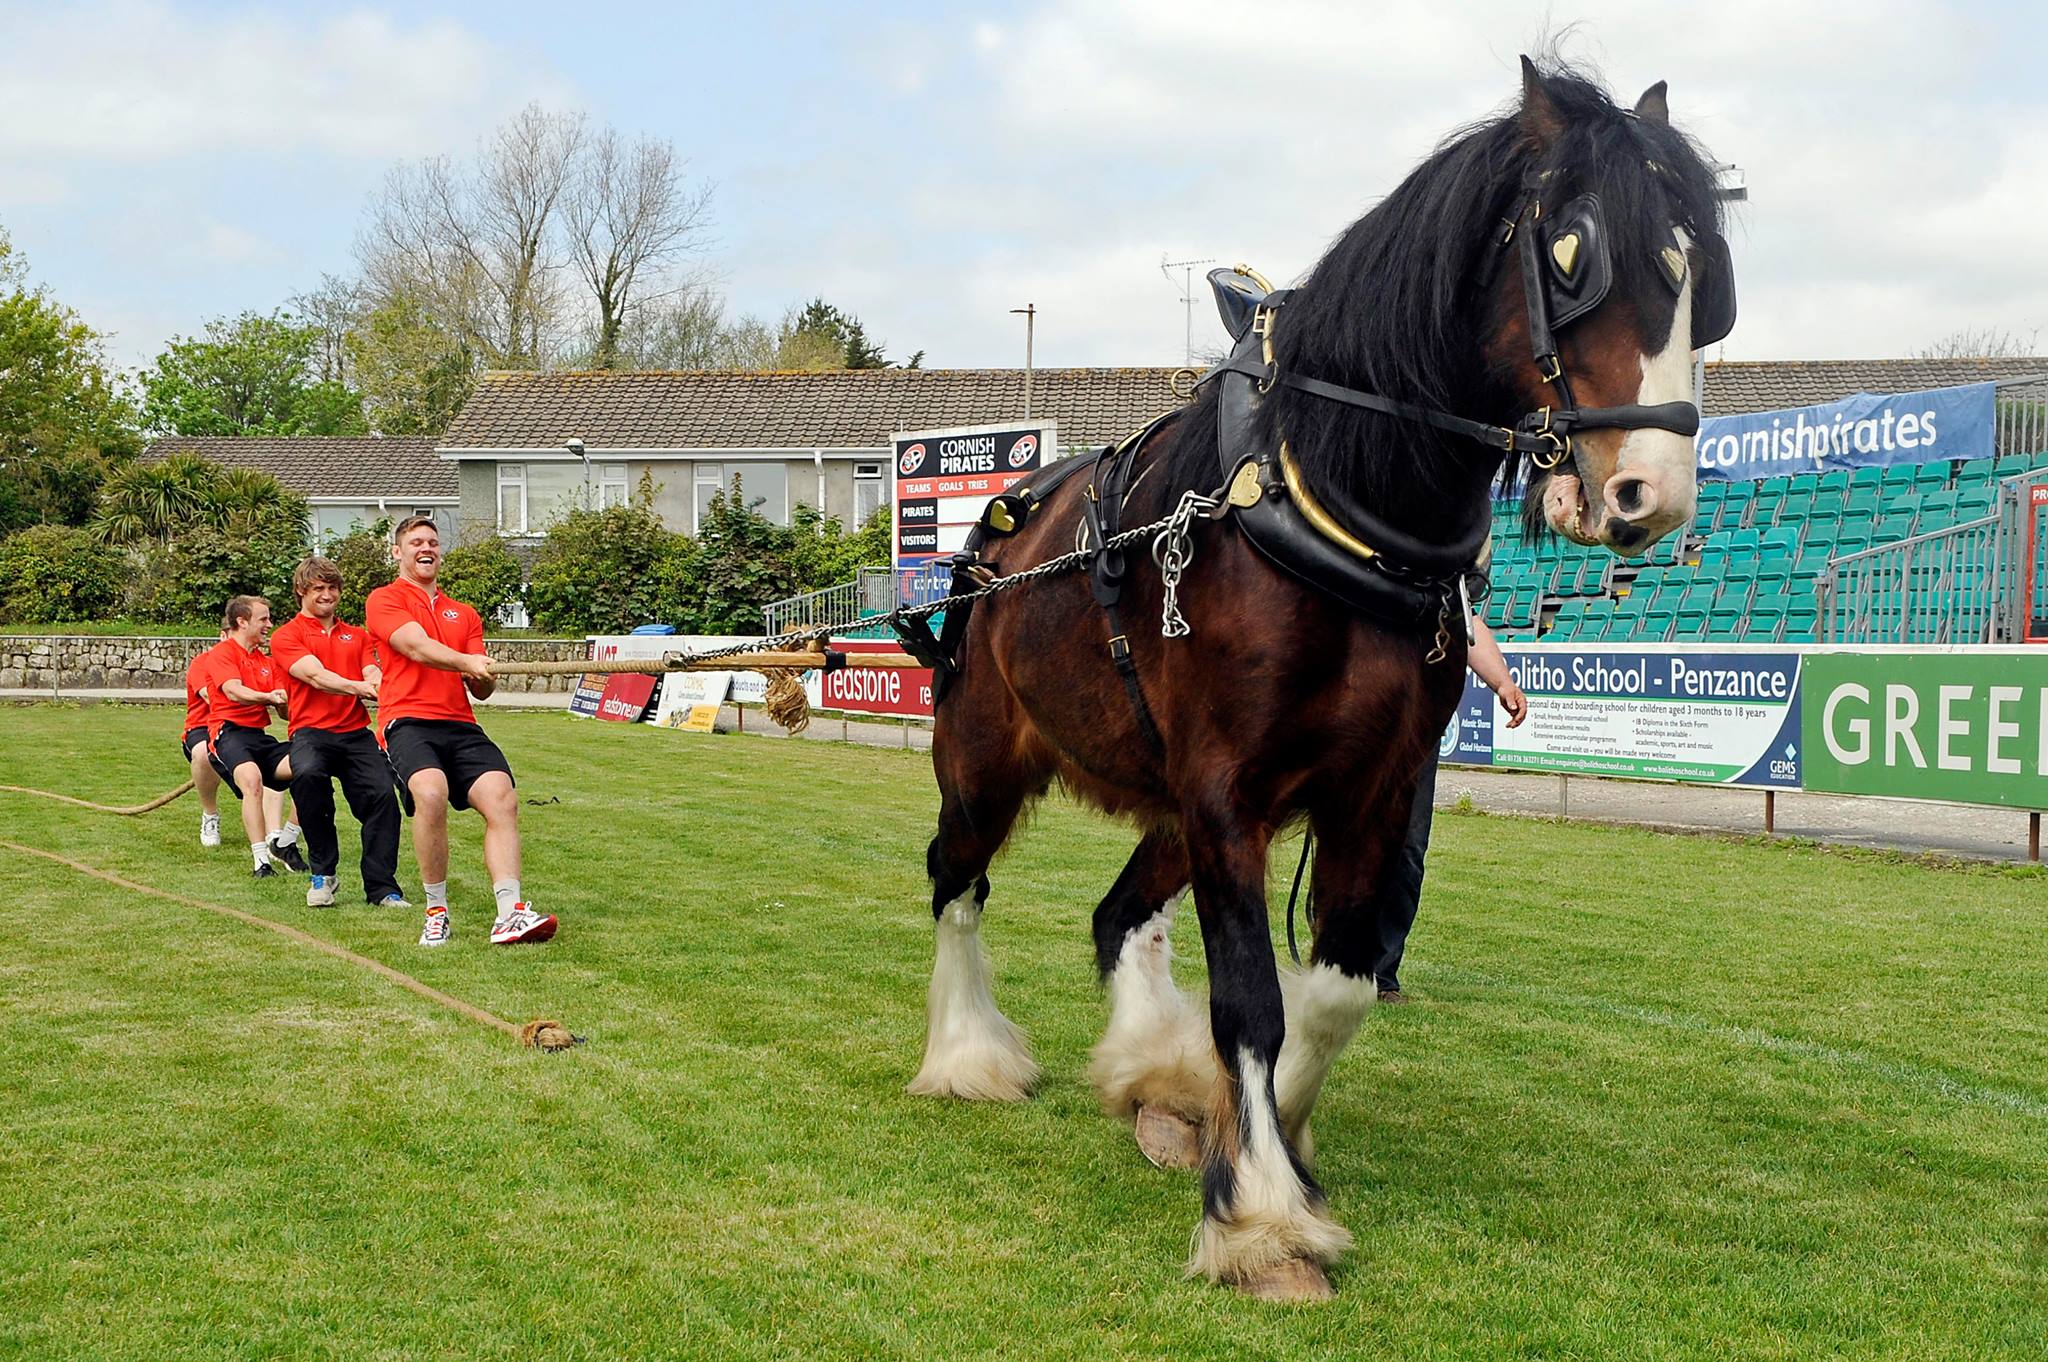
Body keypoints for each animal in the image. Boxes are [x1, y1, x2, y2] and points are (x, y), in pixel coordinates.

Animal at [903, 58, 1735, 1302]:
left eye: (1706, 280)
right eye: (1572, 252)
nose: (1650, 492)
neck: (1331, 500)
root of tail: (996, 539)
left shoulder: (1366, 790)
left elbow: (1332, 992)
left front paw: (1255, 1138)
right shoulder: (1226, 792)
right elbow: (1251, 1001)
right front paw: (1259, 1219)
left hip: (1170, 811)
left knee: (1115, 915)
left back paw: (1152, 1079)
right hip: (989, 761)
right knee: (956, 882)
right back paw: (968, 1058)